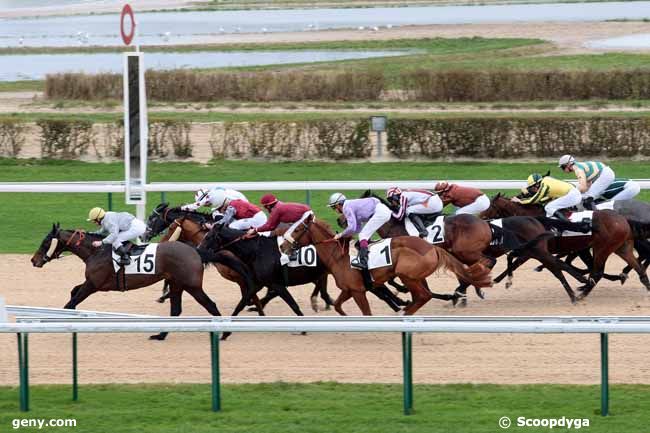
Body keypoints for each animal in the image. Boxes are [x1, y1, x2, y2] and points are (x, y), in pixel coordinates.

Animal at [31, 224, 253, 340]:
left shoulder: (93, 285)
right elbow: (72, 293)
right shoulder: (92, 283)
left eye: (45, 242)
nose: (34, 260)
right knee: (176, 310)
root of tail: (196, 251)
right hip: (177, 284)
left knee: (210, 305)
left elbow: (72, 301)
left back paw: (225, 332)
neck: (96, 251)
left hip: (191, 285)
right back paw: (161, 335)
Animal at [276, 215, 488, 314]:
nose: (283, 245)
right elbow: (337, 306)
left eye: (297, 230)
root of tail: (433, 247)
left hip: (407, 274)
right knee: (422, 295)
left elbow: (367, 312)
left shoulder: (358, 291)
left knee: (423, 295)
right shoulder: (349, 289)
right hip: (415, 277)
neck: (339, 257)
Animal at [480, 194, 648, 298]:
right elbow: (516, 261)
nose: (480, 219)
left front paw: (499, 280)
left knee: (600, 270)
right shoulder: (534, 249)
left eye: (489, 207)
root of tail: (623, 219)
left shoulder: (536, 249)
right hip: (619, 246)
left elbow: (516, 262)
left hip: (603, 247)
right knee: (637, 264)